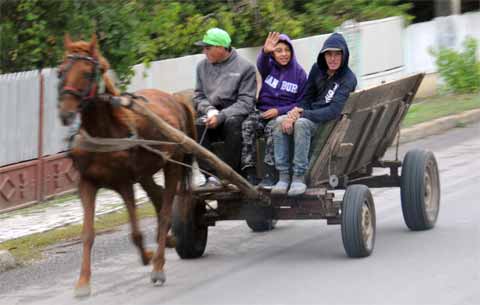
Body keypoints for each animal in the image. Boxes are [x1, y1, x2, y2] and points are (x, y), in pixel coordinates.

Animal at [56, 32, 197, 294]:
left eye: (88, 73)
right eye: (61, 71)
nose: (65, 113)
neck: (104, 132)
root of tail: (173, 98)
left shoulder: (124, 182)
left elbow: (135, 231)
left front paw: (149, 257)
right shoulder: (87, 183)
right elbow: (88, 233)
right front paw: (83, 283)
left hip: (172, 165)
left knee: (165, 211)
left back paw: (159, 265)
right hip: (146, 172)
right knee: (158, 196)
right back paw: (167, 241)